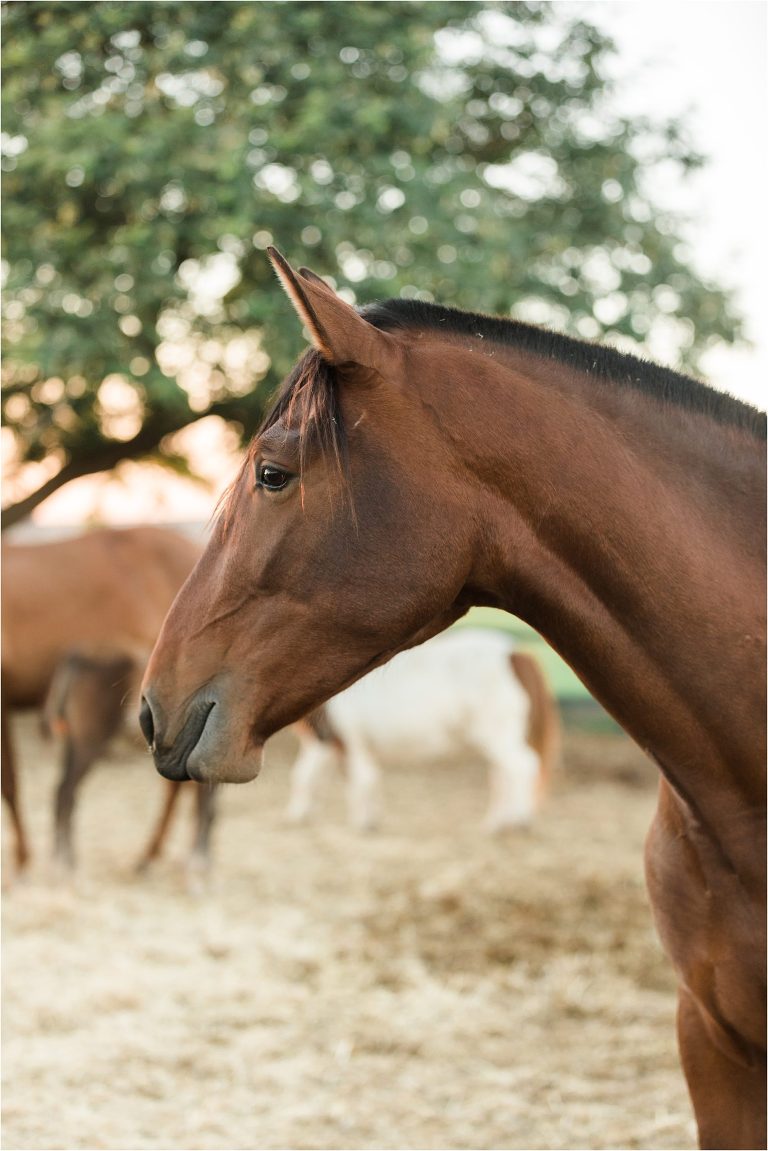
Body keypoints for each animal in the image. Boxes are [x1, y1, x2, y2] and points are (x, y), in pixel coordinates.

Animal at [285, 628, 559, 833]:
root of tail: (514, 655)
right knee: (502, 773)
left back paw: (520, 820)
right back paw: (495, 823)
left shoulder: (345, 740)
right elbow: (318, 776)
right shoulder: (334, 744)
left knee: (522, 766)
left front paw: (362, 823)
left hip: (499, 736)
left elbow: (354, 779)